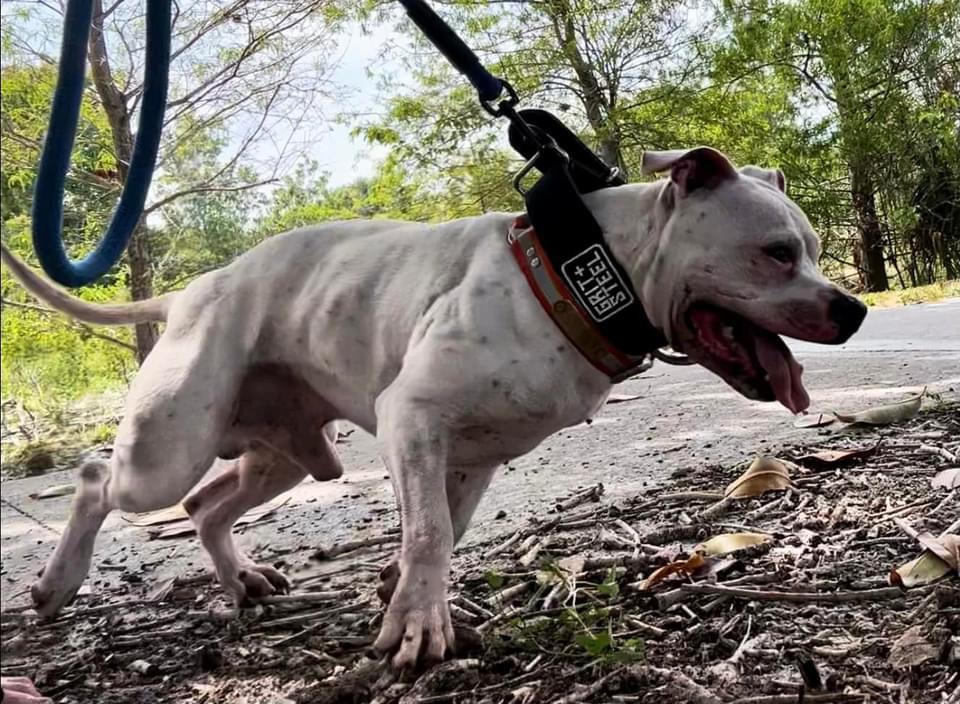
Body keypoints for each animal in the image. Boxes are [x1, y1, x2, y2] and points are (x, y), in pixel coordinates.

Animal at [1, 147, 866, 667]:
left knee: (208, 505)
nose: (853, 308)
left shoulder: (469, 456)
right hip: (170, 443)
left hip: (285, 455)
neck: (581, 275)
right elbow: (427, 534)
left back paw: (242, 580)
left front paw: (406, 595)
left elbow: (442, 529)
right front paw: (419, 624)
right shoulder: (414, 420)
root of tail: (190, 292)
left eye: (815, 252)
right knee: (100, 479)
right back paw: (56, 583)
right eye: (777, 253)